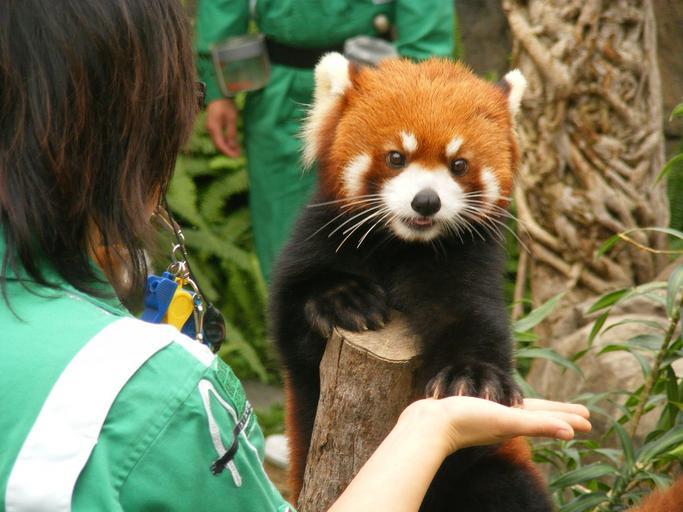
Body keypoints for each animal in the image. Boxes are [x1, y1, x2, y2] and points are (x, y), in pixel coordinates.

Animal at [272, 54, 544, 510]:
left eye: (458, 164)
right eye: (397, 157)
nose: (427, 201)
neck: (401, 245)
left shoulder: (465, 261)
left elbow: (470, 315)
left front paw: (473, 375)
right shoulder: (315, 240)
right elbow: (293, 328)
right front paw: (344, 299)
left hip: (497, 468)